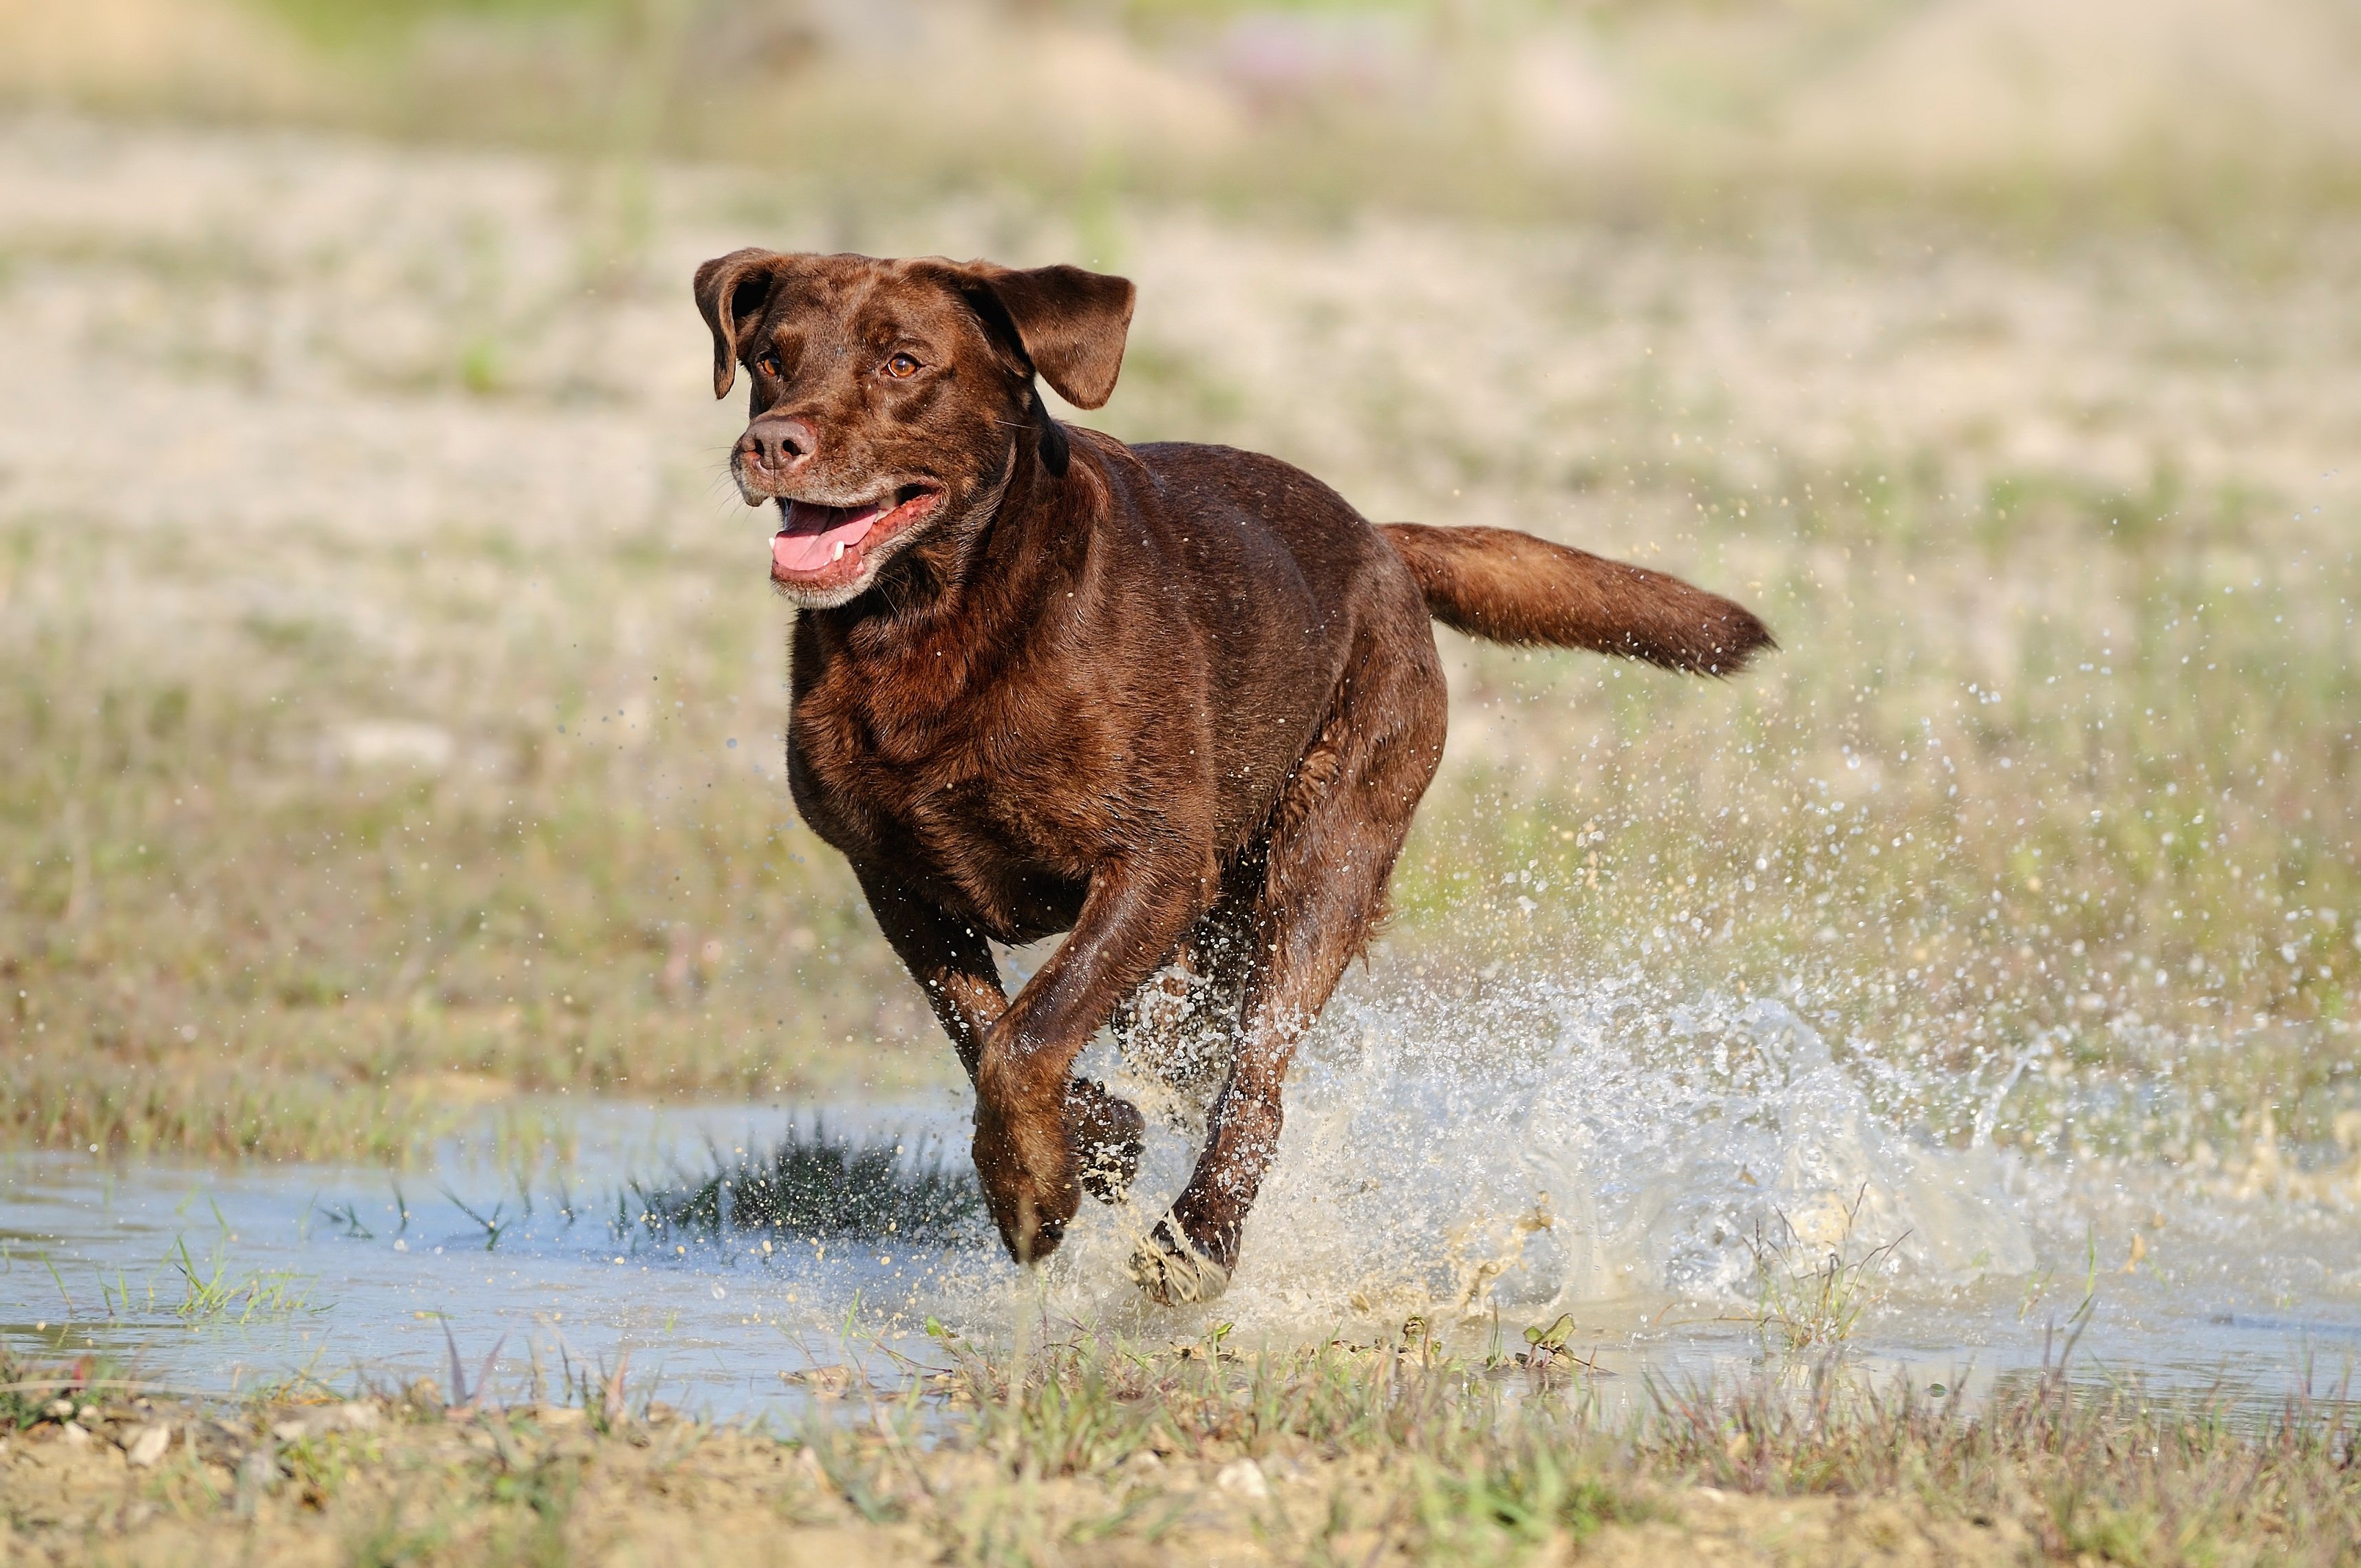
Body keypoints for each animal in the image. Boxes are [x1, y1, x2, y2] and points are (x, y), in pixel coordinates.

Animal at [689, 251, 1766, 1303]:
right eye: (772, 358)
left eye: (903, 362)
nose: (771, 444)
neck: (928, 624)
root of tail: (1380, 539)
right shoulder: (897, 876)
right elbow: (986, 1025)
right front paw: (1088, 1142)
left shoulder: (1154, 864)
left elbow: (1027, 1035)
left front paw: (1031, 1190)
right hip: (1211, 930)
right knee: (1182, 1052)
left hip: (1324, 861)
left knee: (1257, 1080)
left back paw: (1199, 1237)